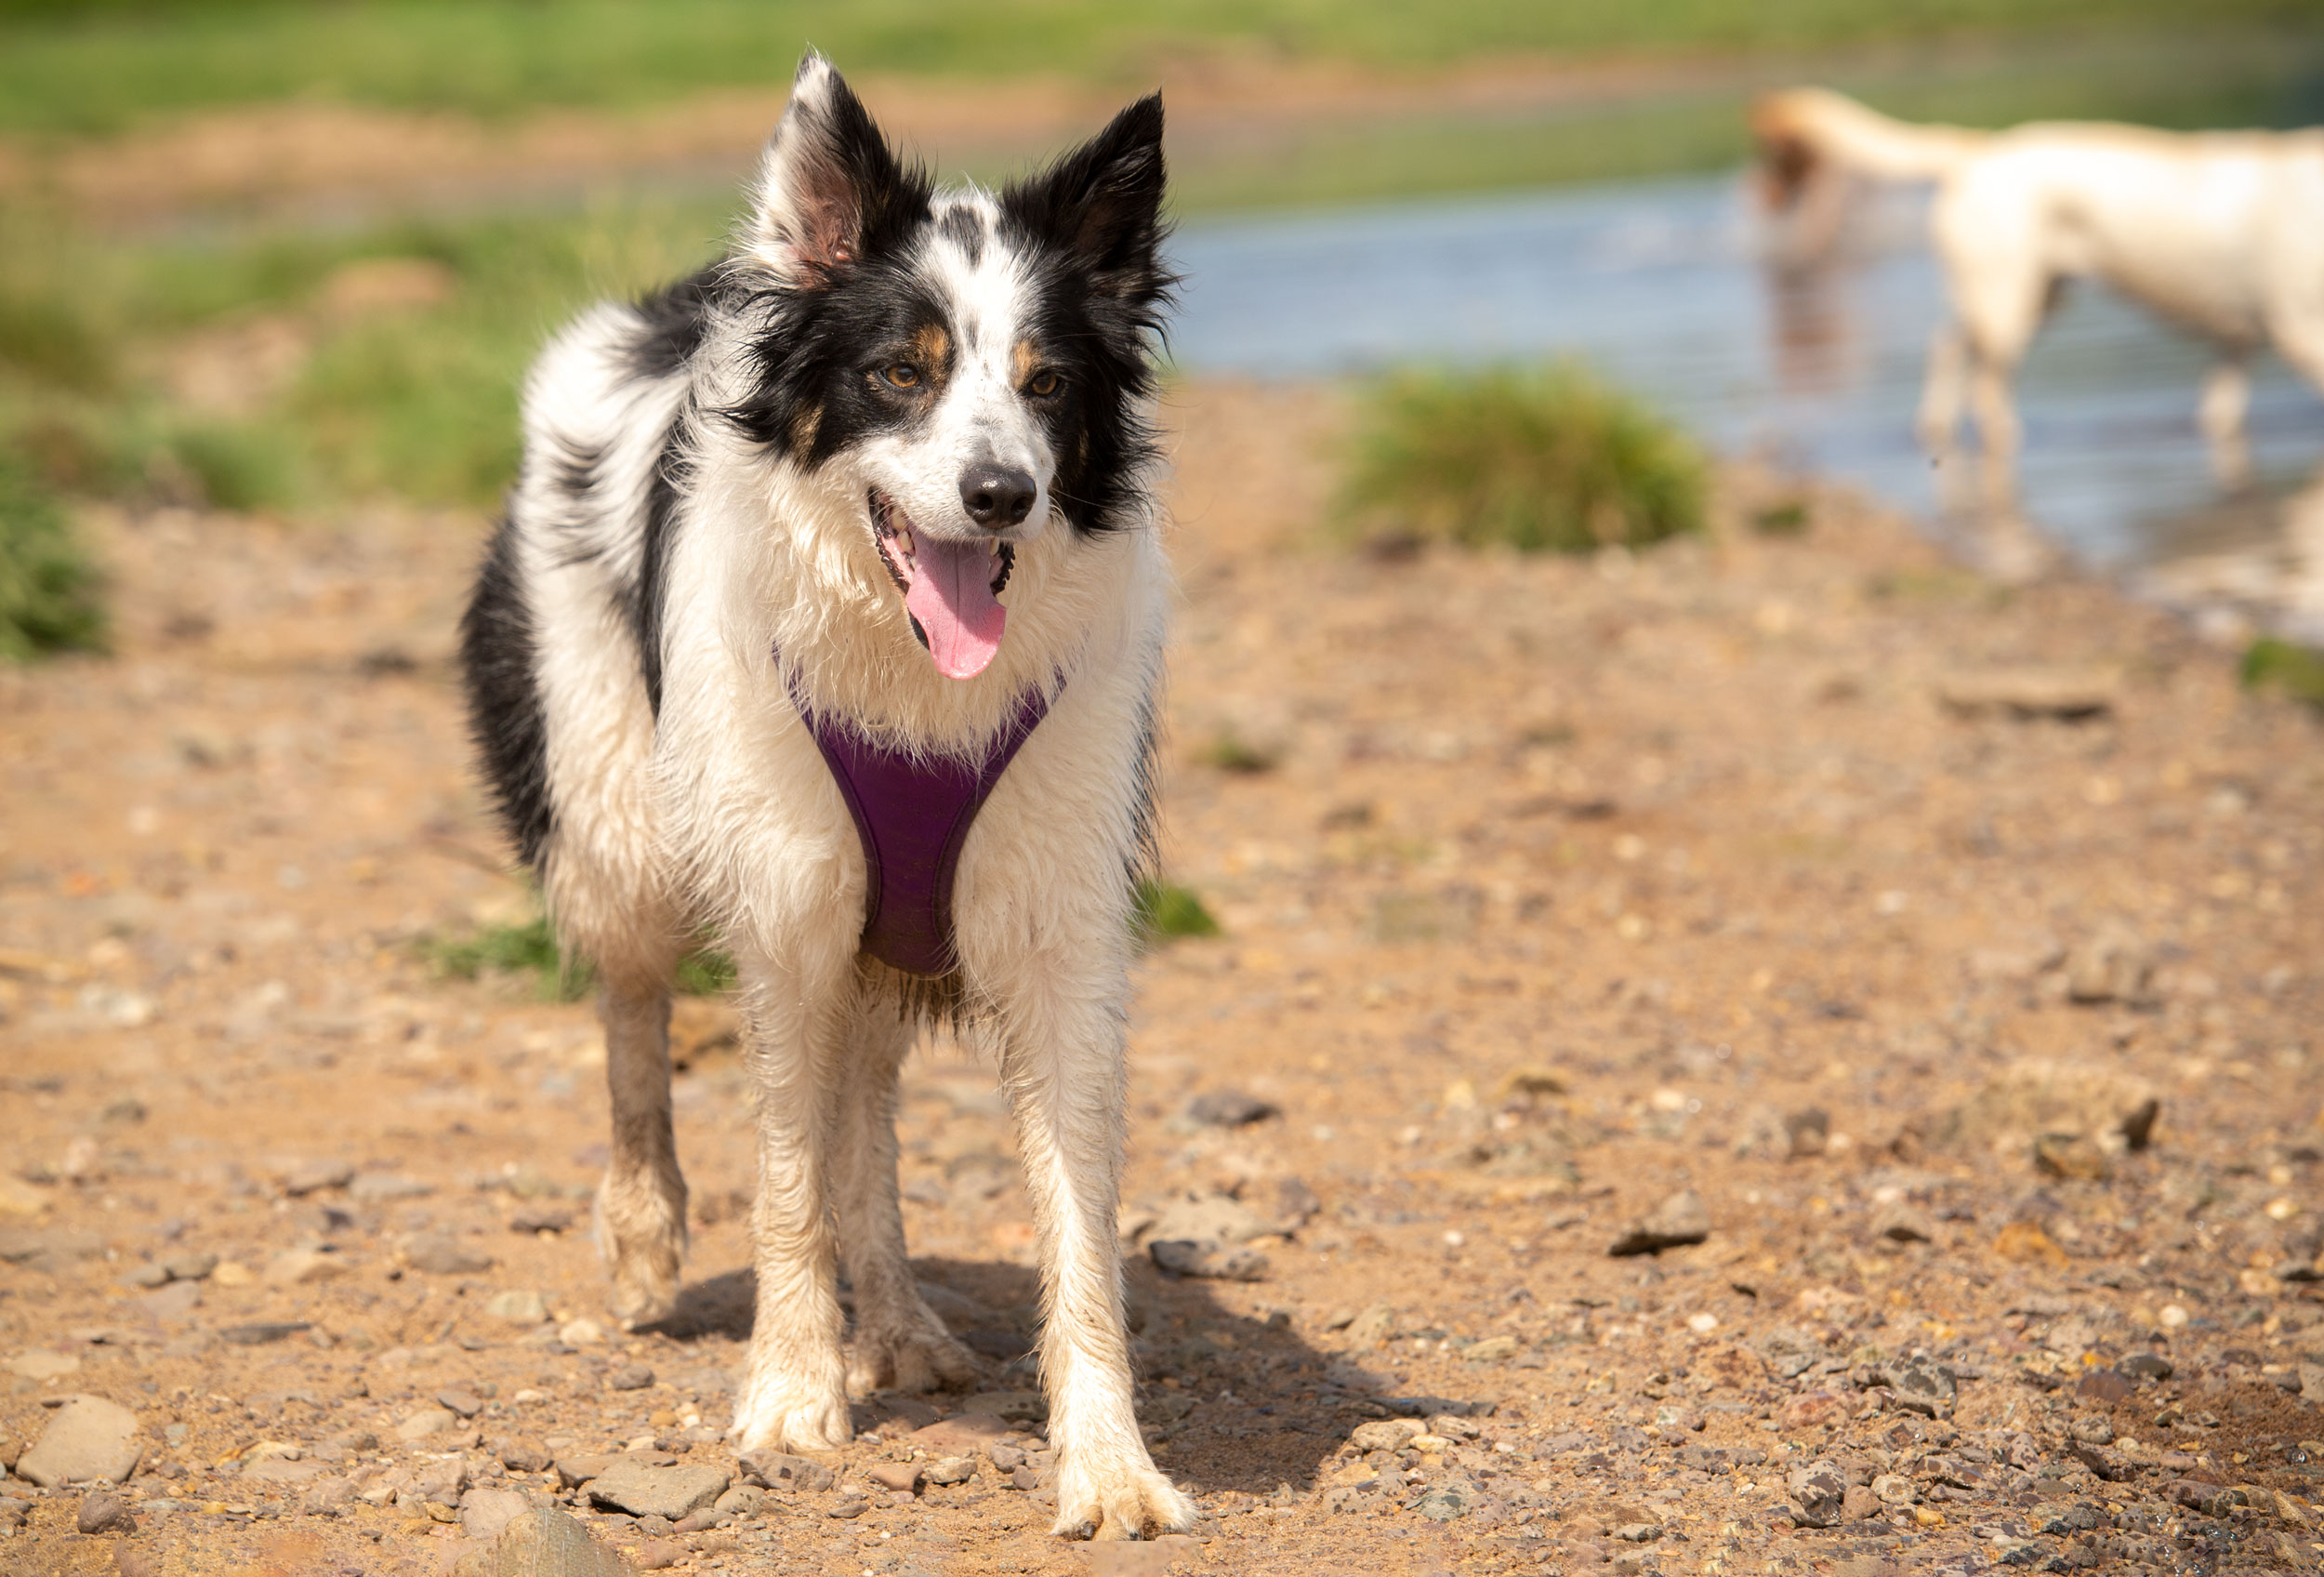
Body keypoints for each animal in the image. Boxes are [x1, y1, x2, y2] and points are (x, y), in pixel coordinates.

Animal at [1757, 87, 2324, 493]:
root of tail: (1979, 147)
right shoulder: (2301, 333)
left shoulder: (2237, 341)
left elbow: (2220, 413)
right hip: (2007, 304)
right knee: (1984, 389)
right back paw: (2006, 435)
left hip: (2027, 299)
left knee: (1950, 350)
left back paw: (1938, 431)